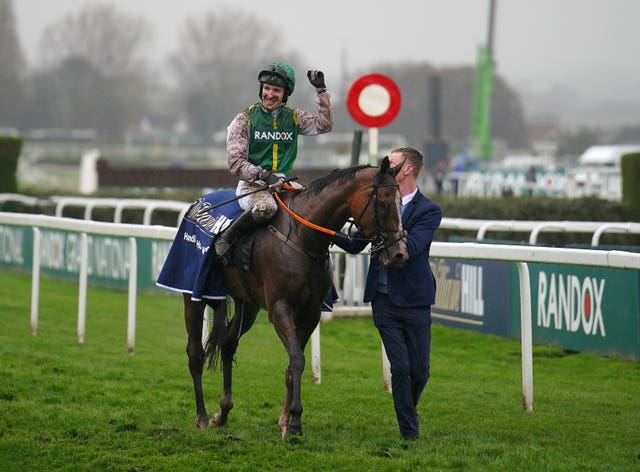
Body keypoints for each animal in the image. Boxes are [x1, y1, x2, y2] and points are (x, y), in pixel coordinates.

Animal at [182, 156, 408, 438]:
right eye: (385, 202)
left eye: (402, 203)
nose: (399, 253)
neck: (302, 238)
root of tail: (198, 203)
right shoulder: (280, 309)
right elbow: (298, 360)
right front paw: (296, 421)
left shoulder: (311, 312)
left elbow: (292, 363)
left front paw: (285, 421)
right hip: (193, 295)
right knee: (195, 354)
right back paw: (201, 416)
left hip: (248, 305)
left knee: (228, 344)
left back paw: (222, 413)